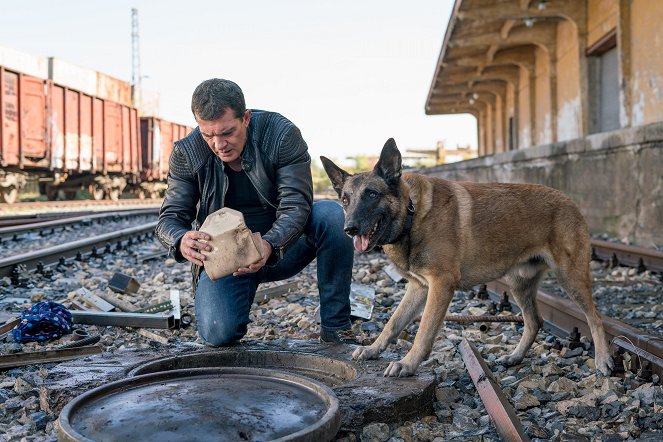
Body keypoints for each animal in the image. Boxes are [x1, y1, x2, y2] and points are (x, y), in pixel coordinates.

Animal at [320, 137, 616, 376]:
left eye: (372, 194)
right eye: (345, 199)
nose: (349, 228)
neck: (412, 215)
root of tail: (568, 199)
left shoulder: (440, 286)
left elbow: (423, 331)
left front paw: (408, 364)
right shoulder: (419, 287)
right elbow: (393, 323)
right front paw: (373, 349)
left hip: (570, 277)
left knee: (595, 318)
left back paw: (603, 361)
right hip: (518, 284)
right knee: (534, 322)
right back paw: (515, 357)